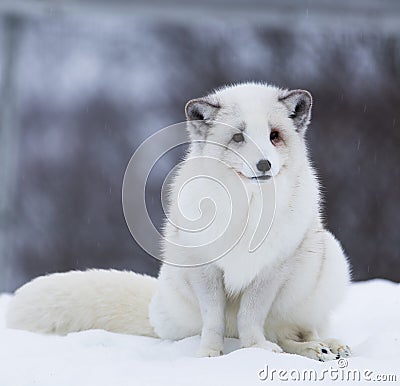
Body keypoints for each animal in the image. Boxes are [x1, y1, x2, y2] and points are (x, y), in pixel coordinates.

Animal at [5, 82, 350, 362]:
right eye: (238, 137)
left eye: (274, 136)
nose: (264, 164)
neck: (250, 209)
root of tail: (155, 308)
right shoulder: (203, 267)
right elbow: (213, 319)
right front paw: (208, 355)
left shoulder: (270, 270)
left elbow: (251, 317)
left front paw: (257, 350)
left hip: (329, 259)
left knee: (299, 332)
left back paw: (324, 347)